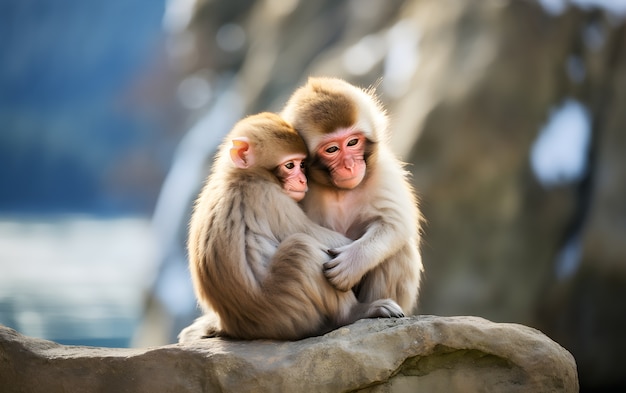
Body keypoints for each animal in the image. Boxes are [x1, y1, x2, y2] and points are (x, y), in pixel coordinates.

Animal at [178, 112, 402, 342]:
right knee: (301, 249)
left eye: (302, 164)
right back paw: (354, 312)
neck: (242, 175)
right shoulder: (269, 196)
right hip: (284, 313)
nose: (303, 181)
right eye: (290, 166)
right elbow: (324, 238)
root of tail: (231, 325)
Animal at [280, 78, 422, 314]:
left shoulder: (383, 172)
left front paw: (353, 261)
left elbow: (395, 224)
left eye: (352, 142)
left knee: (399, 249)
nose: (349, 165)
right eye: (332, 149)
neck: (340, 191)